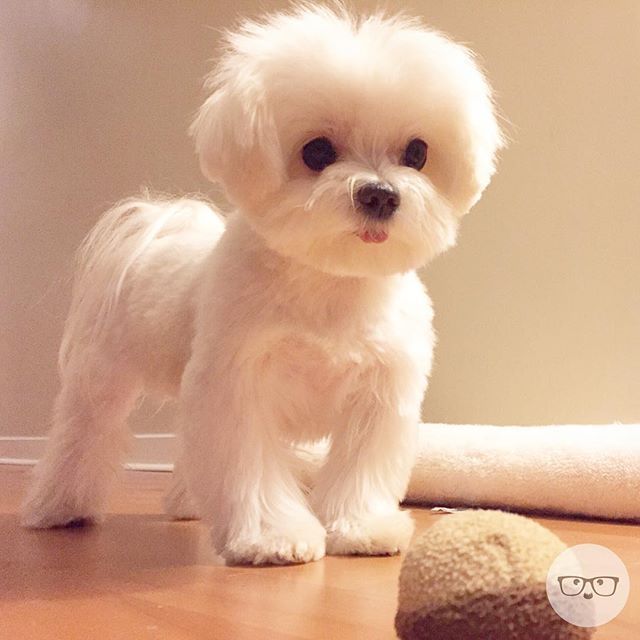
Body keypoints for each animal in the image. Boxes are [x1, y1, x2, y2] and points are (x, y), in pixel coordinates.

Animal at [22, 6, 502, 564]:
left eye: (417, 152)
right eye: (316, 151)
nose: (381, 195)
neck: (330, 281)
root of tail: (159, 228)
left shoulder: (380, 395)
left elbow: (359, 471)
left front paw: (362, 527)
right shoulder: (238, 387)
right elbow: (250, 470)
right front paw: (273, 536)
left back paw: (188, 503)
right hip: (102, 379)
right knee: (84, 435)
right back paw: (57, 507)